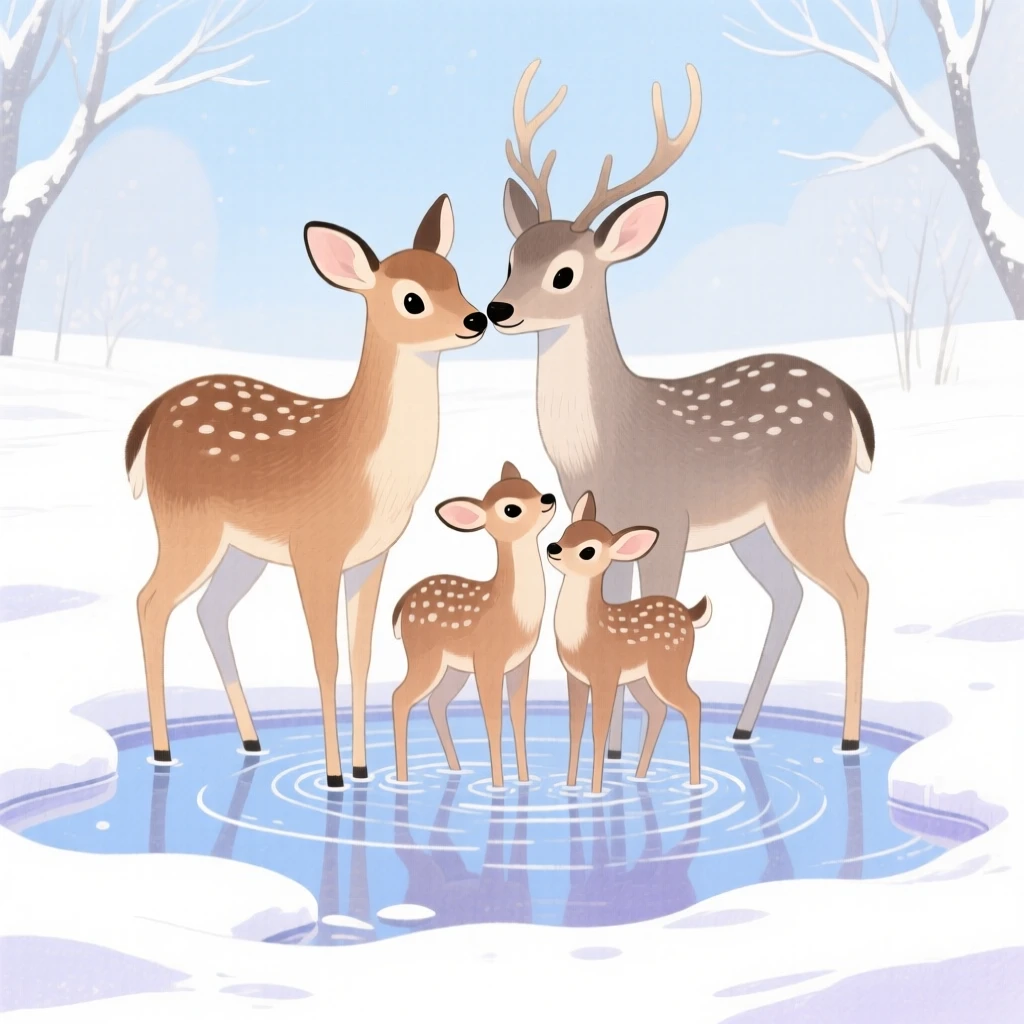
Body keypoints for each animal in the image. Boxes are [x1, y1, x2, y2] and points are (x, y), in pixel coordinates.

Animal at [124, 195, 486, 788]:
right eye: (411, 299)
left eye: (455, 279)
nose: (477, 318)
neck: (366, 470)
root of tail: (152, 415)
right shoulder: (316, 547)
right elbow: (325, 655)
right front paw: (336, 775)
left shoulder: (373, 555)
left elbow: (361, 654)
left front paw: (362, 769)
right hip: (185, 523)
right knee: (150, 601)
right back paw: (162, 749)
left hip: (241, 549)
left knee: (209, 610)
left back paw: (251, 739)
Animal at [390, 462, 556, 788]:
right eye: (511, 509)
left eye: (530, 486)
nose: (548, 498)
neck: (513, 614)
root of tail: (401, 606)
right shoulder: (488, 660)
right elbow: (493, 719)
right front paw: (499, 784)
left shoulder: (521, 662)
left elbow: (519, 718)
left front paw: (524, 780)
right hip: (424, 656)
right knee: (400, 698)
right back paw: (403, 778)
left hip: (453, 668)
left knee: (436, 703)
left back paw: (455, 769)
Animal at [487, 59, 874, 758]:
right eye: (511, 257)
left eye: (564, 273)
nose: (499, 309)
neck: (607, 445)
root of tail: (848, 399)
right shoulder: (605, 524)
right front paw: (610, 753)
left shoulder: (668, 520)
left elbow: (653, 606)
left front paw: (628, 752)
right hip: (755, 529)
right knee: (789, 593)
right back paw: (744, 726)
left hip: (810, 501)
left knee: (854, 587)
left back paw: (850, 739)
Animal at [547, 492, 710, 795]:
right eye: (566, 531)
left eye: (588, 551)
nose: (554, 547)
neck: (585, 635)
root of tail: (689, 614)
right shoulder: (574, 676)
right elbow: (575, 728)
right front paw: (570, 786)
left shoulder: (605, 675)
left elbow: (599, 729)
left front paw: (596, 791)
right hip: (641, 678)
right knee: (659, 709)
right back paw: (639, 775)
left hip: (668, 668)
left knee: (692, 703)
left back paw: (694, 782)